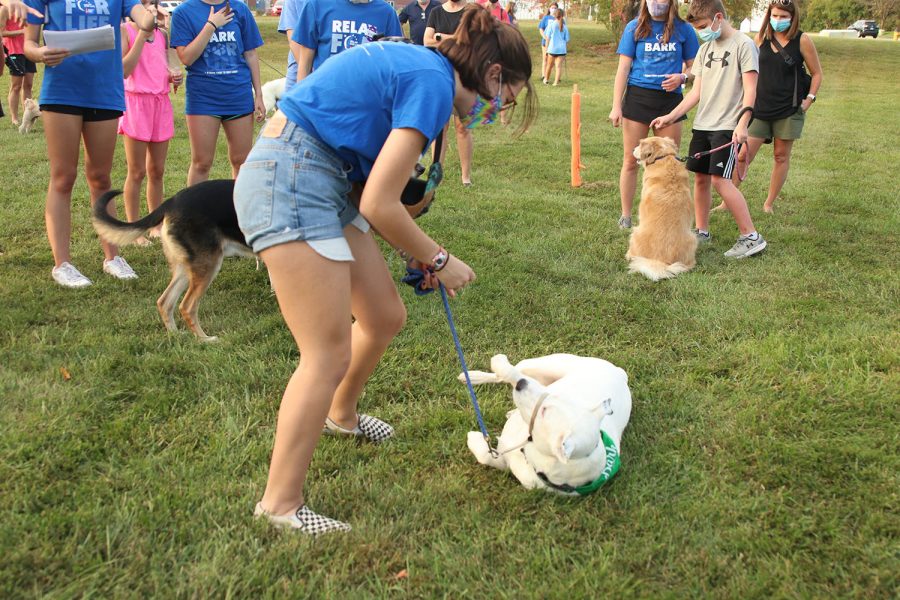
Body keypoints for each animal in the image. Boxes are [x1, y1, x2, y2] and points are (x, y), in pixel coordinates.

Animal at [93, 178, 253, 342]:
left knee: (165, 302)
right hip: (207, 265)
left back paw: (176, 335)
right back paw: (205, 340)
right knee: (187, 307)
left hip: (188, 268)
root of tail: (172, 202)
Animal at [460, 354, 628, 494]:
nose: (521, 384)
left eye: (544, 411)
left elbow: (487, 455)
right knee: (511, 372)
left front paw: (473, 438)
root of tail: (621, 374)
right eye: (558, 395)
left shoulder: (505, 459)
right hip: (546, 364)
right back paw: (477, 374)